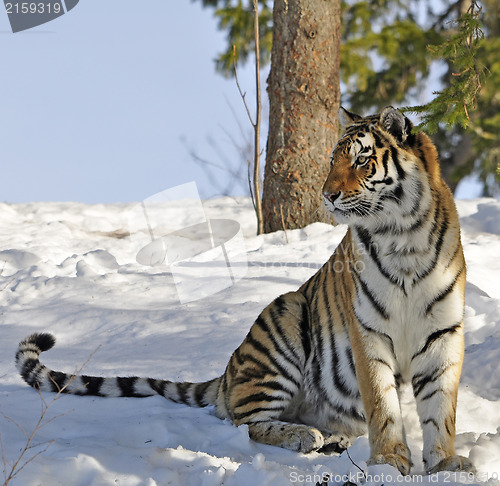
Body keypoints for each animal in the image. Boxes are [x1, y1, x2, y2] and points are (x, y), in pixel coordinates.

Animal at [16, 105, 476, 474]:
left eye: (363, 160)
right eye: (332, 160)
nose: (327, 195)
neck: (403, 237)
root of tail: (225, 374)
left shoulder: (442, 332)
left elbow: (441, 409)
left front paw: (445, 463)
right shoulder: (369, 332)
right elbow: (383, 405)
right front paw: (389, 462)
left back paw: (331, 438)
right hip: (285, 319)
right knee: (244, 421)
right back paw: (305, 437)